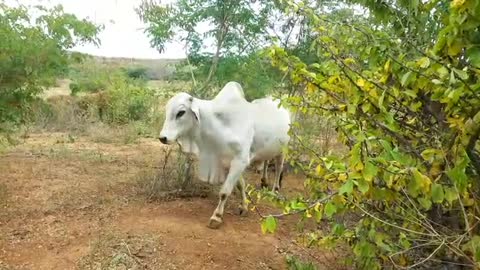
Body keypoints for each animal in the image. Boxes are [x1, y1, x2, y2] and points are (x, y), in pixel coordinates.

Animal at [159, 81, 290, 229]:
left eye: (181, 112)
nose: (163, 138)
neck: (219, 125)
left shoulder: (240, 160)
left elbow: (224, 191)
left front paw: (216, 216)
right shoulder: (227, 161)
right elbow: (240, 185)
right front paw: (243, 207)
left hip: (283, 149)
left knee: (279, 168)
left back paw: (275, 191)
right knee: (267, 162)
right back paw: (264, 182)